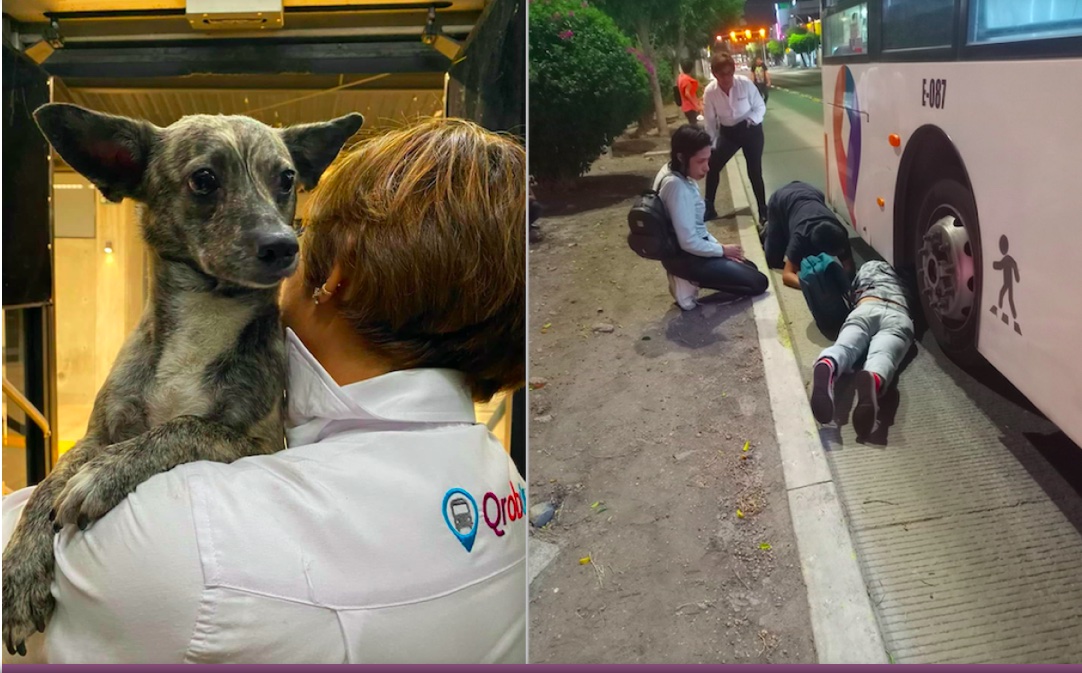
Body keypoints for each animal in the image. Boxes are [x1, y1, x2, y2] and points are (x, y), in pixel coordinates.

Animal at [1, 102, 367, 657]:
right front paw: (20, 574)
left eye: (286, 179)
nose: (284, 246)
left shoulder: (257, 445)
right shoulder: (96, 434)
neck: (205, 314)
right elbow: (47, 483)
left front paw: (105, 475)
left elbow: (183, 427)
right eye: (204, 179)